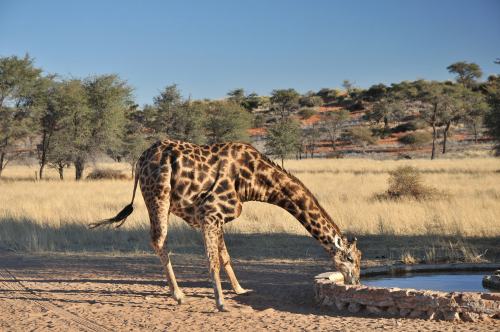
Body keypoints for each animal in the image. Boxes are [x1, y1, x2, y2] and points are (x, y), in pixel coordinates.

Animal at [90, 139, 362, 312]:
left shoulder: (217, 219)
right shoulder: (209, 213)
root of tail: (140, 160)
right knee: (158, 240)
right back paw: (178, 295)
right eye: (350, 259)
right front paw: (221, 303)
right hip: (158, 195)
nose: (355, 282)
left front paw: (240, 290)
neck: (254, 181)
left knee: (159, 240)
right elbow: (213, 261)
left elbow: (225, 257)